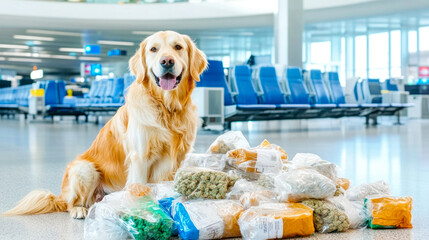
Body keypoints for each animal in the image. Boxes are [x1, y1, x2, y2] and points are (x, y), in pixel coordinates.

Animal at [3, 31, 207, 218]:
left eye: (178, 47)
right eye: (153, 49)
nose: (167, 61)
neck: (167, 108)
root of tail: (59, 196)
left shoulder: (180, 159)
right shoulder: (140, 157)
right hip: (85, 169)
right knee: (70, 203)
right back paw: (79, 209)